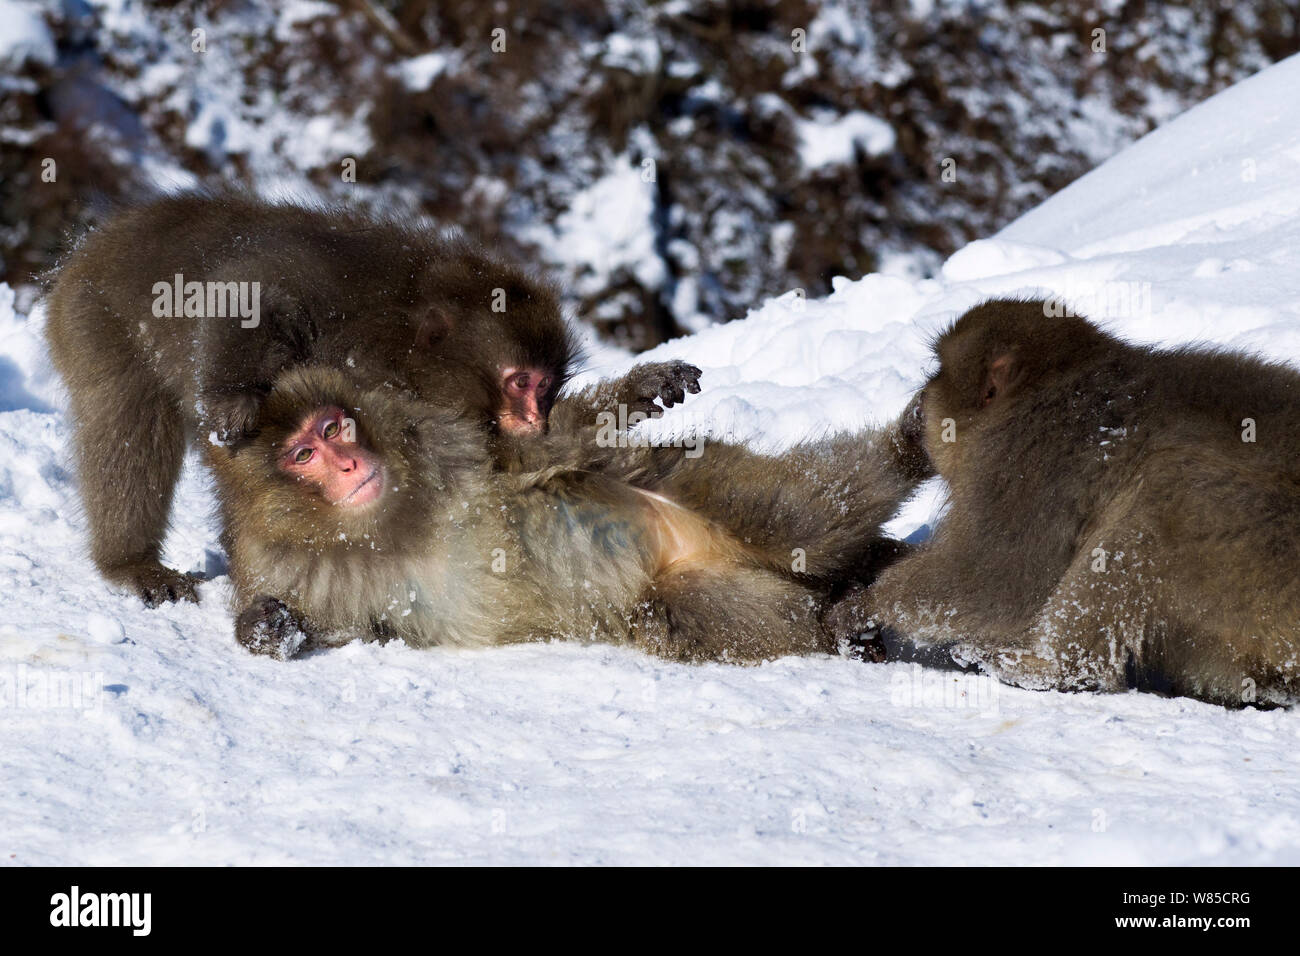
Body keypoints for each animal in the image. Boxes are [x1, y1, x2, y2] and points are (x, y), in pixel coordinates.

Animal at [43, 192, 702, 606]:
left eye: (546, 387)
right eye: (521, 383)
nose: (533, 417)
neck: (398, 335)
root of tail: (89, 247)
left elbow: (503, 461)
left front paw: (644, 387)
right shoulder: (334, 291)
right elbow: (246, 289)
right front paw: (231, 400)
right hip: (94, 319)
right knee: (129, 426)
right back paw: (130, 562)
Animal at [205, 366, 925, 665]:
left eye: (333, 426)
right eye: (304, 454)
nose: (350, 463)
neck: (381, 522)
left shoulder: (430, 436)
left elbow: (528, 451)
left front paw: (641, 385)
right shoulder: (282, 561)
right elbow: (331, 629)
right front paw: (266, 626)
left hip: (687, 482)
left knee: (804, 513)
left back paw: (912, 445)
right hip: (716, 596)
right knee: (711, 610)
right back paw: (841, 621)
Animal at [826, 300, 1300, 712]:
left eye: (938, 370)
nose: (921, 399)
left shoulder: (1023, 463)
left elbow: (996, 578)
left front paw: (865, 605)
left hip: (1252, 552)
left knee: (1159, 502)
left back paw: (1048, 668)